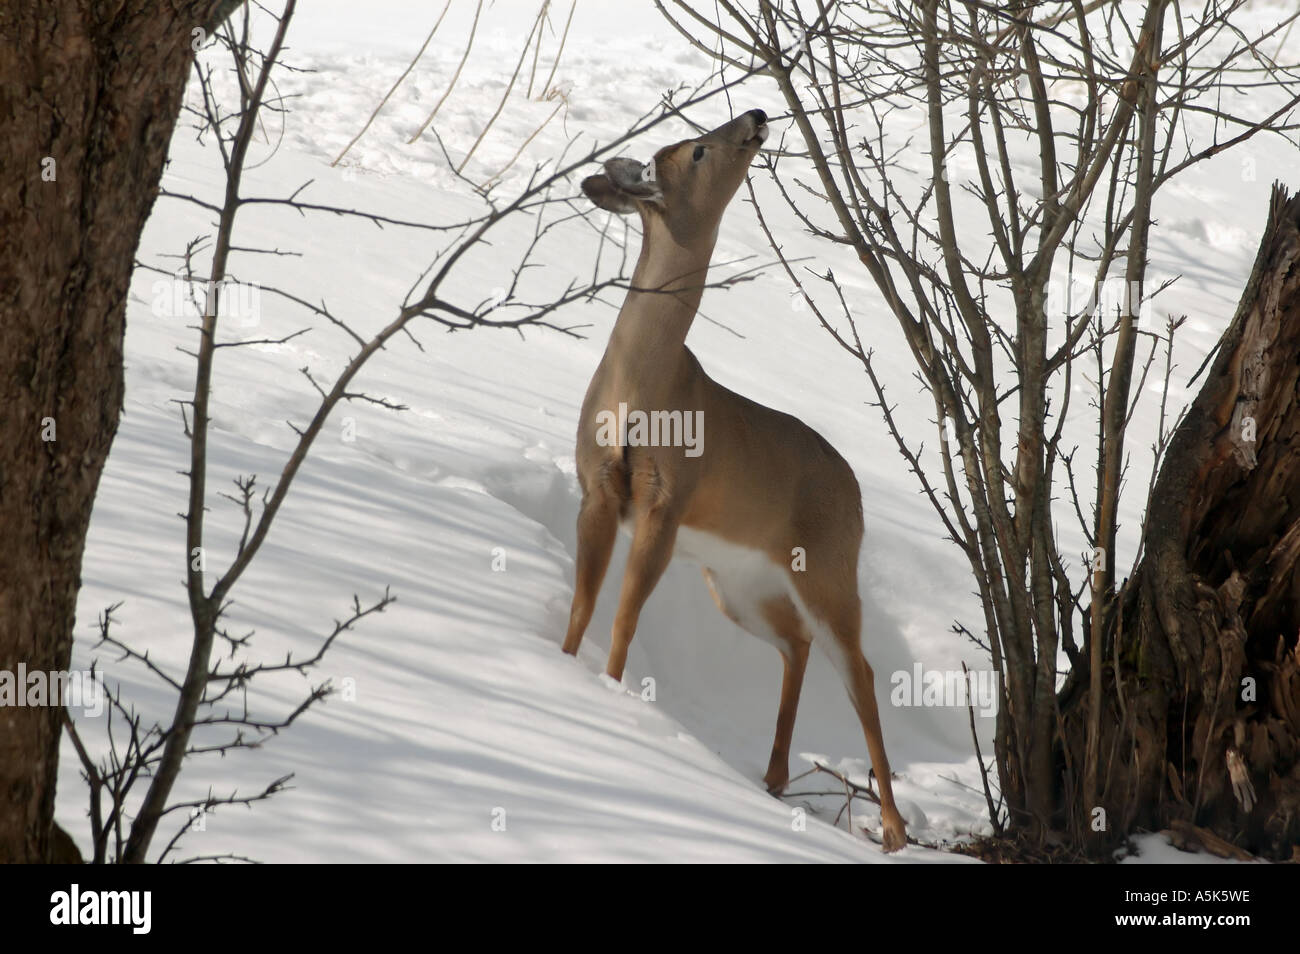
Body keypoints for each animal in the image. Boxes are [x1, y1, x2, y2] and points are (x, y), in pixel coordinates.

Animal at [564, 108, 909, 857]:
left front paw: (606, 695)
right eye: (696, 149)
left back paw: (894, 829)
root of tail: (856, 490)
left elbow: (624, 616)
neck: (645, 388)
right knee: (797, 643)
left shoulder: (667, 503)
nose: (755, 115)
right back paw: (775, 778)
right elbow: (585, 605)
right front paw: (563, 667)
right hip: (736, 584)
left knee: (860, 669)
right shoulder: (598, 488)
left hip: (828, 565)